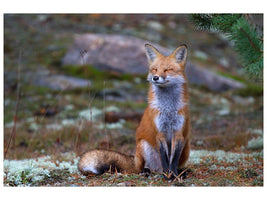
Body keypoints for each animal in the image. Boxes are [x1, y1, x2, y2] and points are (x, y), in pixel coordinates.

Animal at [78, 43, 192, 178]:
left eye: (167, 69)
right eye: (154, 69)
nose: (155, 78)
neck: (168, 108)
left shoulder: (178, 133)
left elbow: (173, 160)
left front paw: (173, 175)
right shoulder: (160, 132)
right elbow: (165, 158)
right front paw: (167, 176)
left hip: (186, 148)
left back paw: (182, 172)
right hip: (143, 145)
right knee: (145, 168)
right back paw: (148, 171)